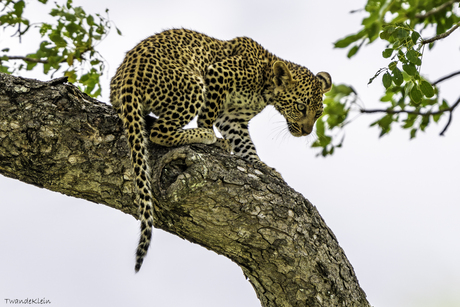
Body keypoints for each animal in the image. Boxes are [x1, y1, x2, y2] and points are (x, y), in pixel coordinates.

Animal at [108, 27, 330, 272]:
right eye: (300, 107)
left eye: (318, 113)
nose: (306, 131)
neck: (266, 85)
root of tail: (128, 75)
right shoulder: (218, 75)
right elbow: (208, 116)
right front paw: (212, 136)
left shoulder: (234, 118)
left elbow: (246, 145)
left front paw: (262, 166)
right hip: (194, 84)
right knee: (159, 132)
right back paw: (207, 136)